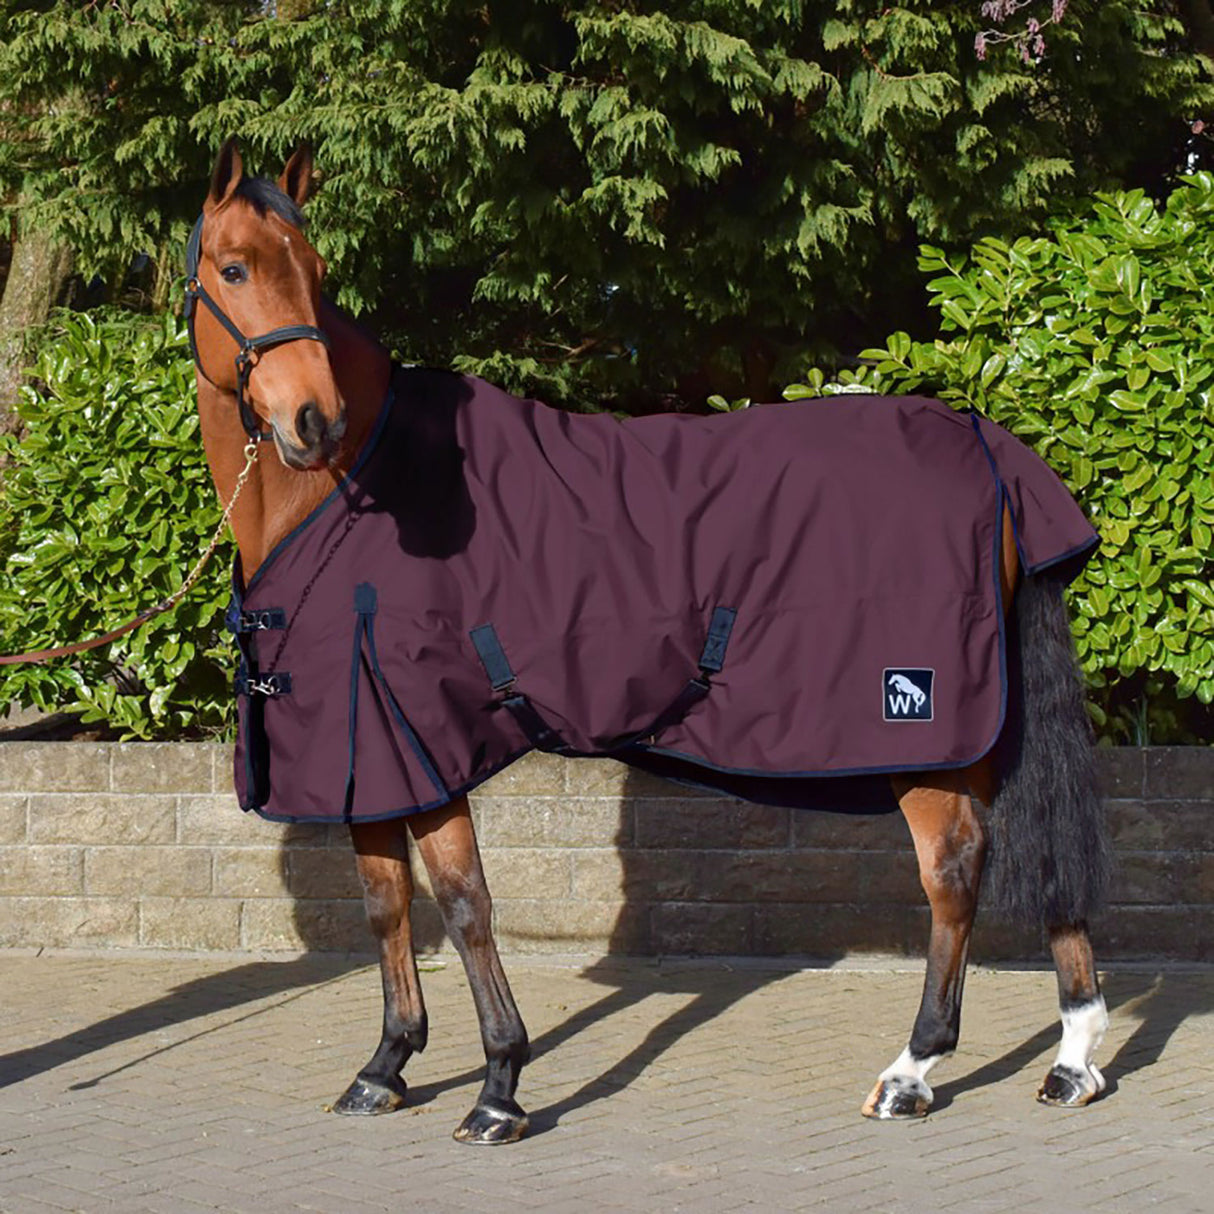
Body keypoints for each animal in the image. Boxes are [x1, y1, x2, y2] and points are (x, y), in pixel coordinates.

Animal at [187, 139, 1111, 1145]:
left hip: (926, 729)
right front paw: (385, 1067)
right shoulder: (375, 761)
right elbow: (388, 908)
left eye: (317, 275)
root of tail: (986, 440)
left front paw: (499, 1087)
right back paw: (1071, 1060)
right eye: (234, 269)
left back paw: (913, 1071)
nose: (313, 421)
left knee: (953, 871)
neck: (363, 485)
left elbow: (466, 906)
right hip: (981, 731)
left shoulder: (421, 738)